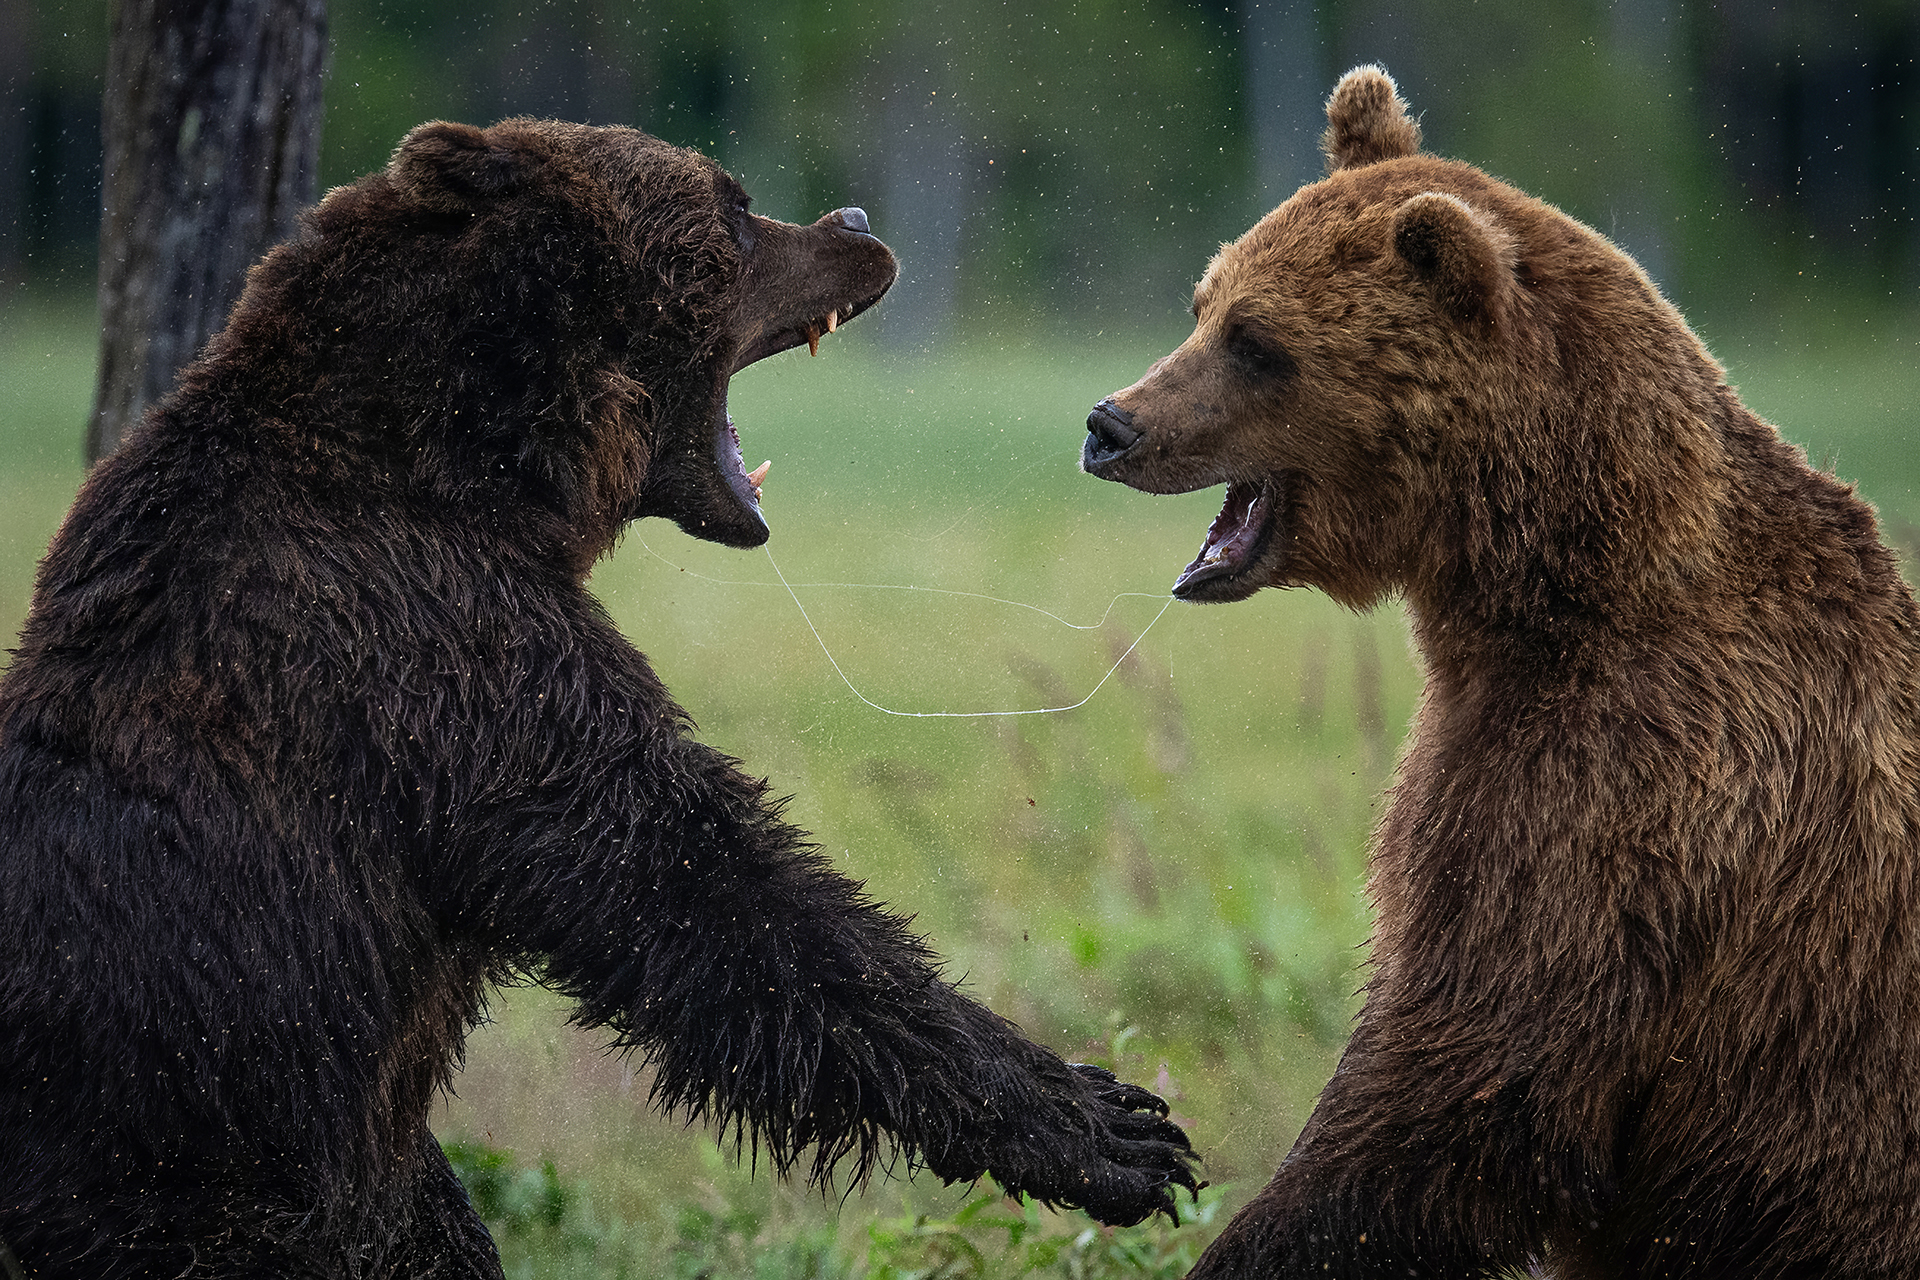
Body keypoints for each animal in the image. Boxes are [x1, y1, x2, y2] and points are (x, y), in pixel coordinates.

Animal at [0, 118, 1197, 1279]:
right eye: (733, 206)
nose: (857, 222)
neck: (473, 465)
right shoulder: (443, 655)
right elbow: (701, 881)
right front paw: (1112, 1128)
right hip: (182, 1151)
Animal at [1082, 66, 1920, 1279]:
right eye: (1204, 303)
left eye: (1255, 338)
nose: (1111, 423)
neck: (1551, 584)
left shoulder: (1624, 790)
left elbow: (1471, 1081)